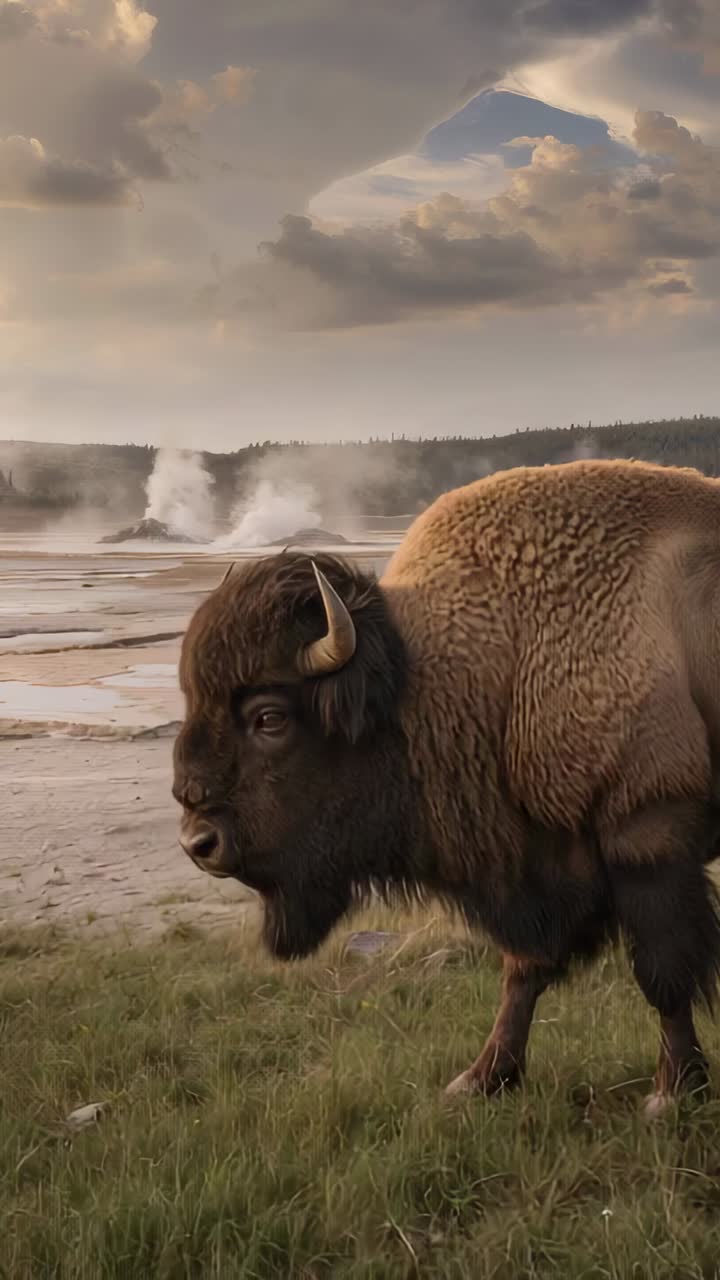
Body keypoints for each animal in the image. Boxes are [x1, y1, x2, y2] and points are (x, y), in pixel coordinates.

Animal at [173, 458, 720, 1114]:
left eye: (269, 718)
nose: (198, 844)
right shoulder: (536, 862)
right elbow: (524, 971)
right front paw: (478, 1080)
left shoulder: (648, 829)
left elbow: (664, 972)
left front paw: (671, 1093)